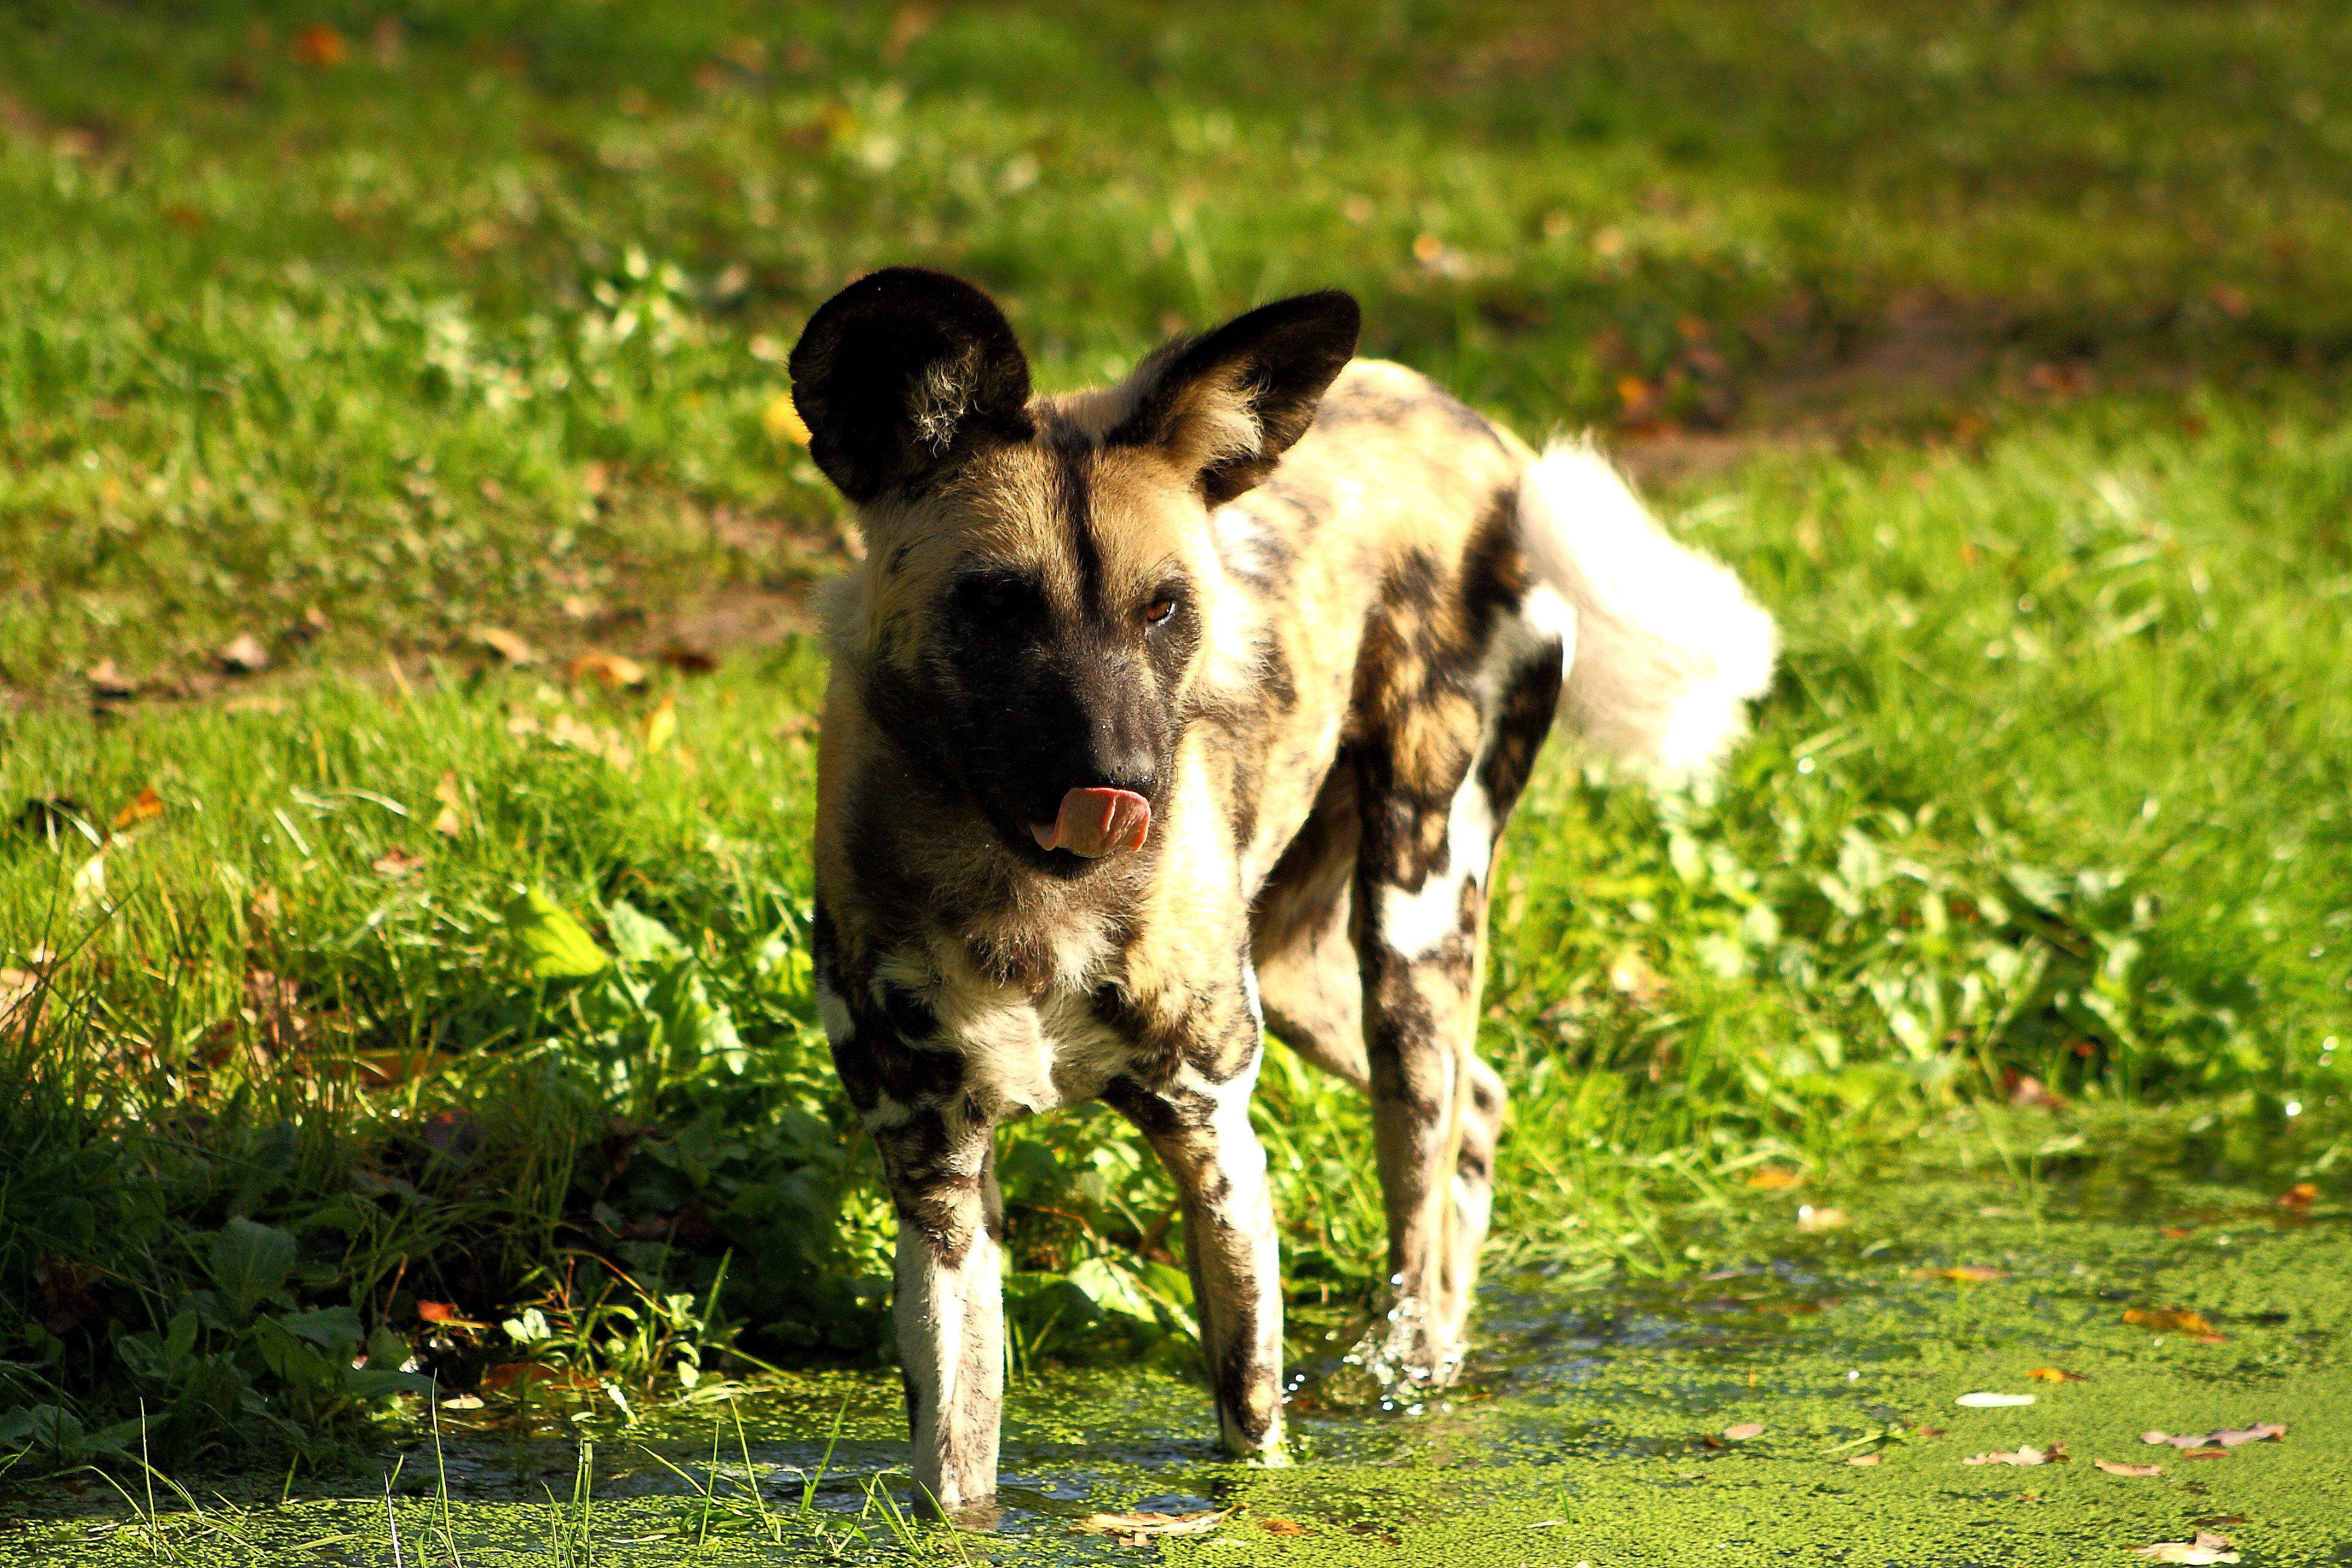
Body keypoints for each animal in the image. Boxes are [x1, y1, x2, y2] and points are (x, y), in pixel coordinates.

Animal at [785, 272, 1768, 1523]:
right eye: (997, 605)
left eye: (1164, 608)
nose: (1125, 782)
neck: (1026, 904)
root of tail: (1475, 427)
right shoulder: (936, 1178)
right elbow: (956, 1472)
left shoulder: (1213, 1142)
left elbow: (1250, 1423)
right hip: (1303, 974)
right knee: (1480, 1109)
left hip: (1412, 931)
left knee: (1419, 1193)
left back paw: (1413, 1381)